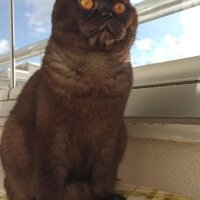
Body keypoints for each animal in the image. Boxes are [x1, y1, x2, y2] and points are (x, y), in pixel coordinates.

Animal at [0, 0, 138, 200]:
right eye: (86, 3)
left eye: (119, 7)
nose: (106, 13)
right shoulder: (53, 135)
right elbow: (50, 178)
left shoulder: (109, 136)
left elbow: (103, 175)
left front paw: (108, 195)